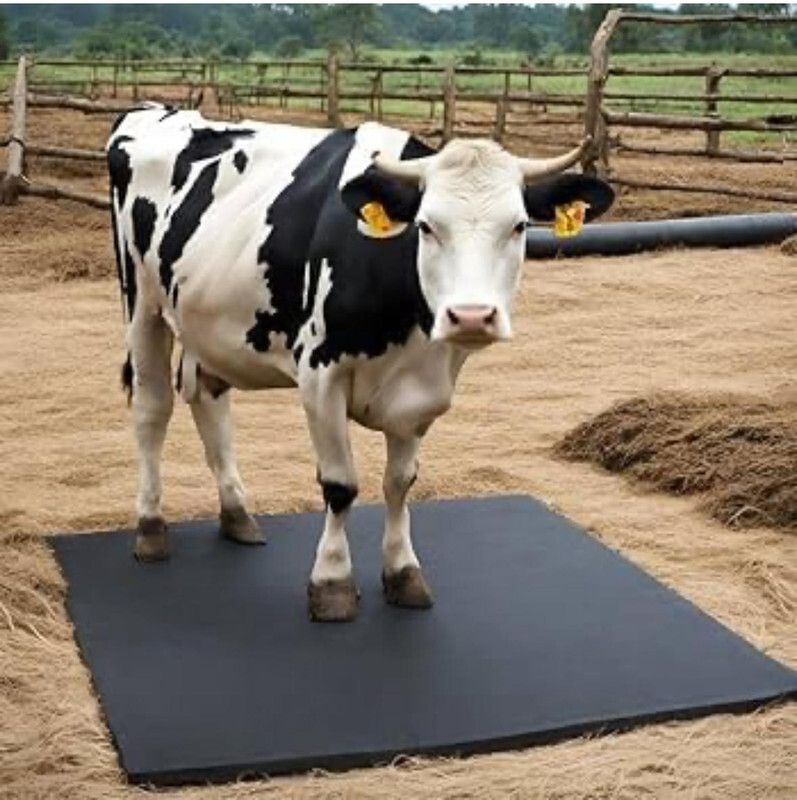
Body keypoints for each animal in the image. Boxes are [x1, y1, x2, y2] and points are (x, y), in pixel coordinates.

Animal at [106, 106, 614, 622]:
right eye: (426, 226)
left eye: (519, 226)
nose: (471, 316)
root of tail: (155, 109)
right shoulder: (320, 377)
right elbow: (340, 486)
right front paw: (332, 581)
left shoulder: (422, 392)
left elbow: (400, 484)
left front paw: (403, 572)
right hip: (142, 303)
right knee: (152, 409)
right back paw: (150, 526)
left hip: (208, 320)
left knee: (207, 397)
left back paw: (237, 513)